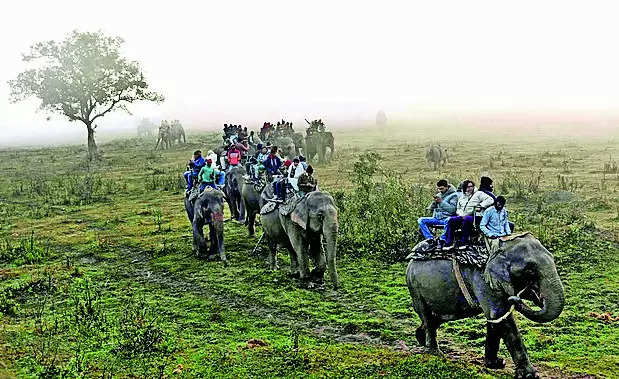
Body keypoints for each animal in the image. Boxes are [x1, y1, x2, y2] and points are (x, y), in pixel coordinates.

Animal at [406, 236, 568, 378]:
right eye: (530, 270)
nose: (515, 297)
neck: (498, 247)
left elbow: (494, 319)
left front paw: (495, 364)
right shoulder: (482, 278)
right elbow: (499, 315)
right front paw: (529, 375)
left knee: (437, 318)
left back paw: (421, 337)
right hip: (414, 288)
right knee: (426, 314)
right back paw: (435, 353)